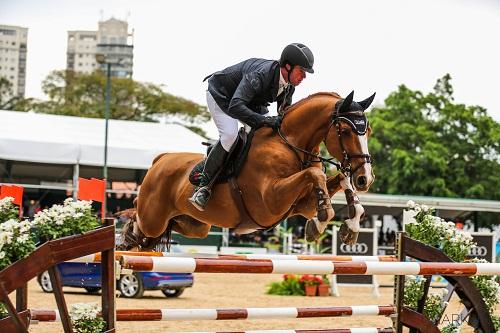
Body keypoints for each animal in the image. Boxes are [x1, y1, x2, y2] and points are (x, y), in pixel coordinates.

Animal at [118, 89, 376, 250]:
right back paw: (126, 233)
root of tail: (160, 159)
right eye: (346, 131)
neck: (291, 145)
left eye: (368, 130)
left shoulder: (302, 204)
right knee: (140, 218)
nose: (365, 179)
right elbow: (316, 174)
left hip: (196, 225)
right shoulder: (271, 201)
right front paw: (321, 220)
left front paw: (351, 226)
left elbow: (338, 179)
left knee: (158, 233)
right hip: (154, 218)